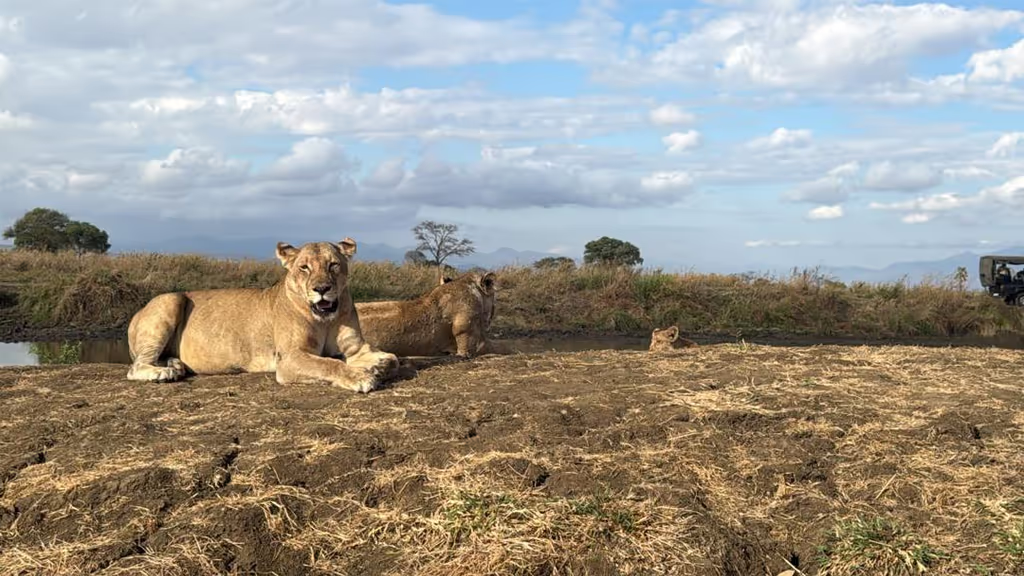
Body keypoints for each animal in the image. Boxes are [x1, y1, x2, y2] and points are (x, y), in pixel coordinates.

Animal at [126, 239, 399, 393]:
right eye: (304, 267)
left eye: (333, 265)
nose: (321, 288)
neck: (325, 320)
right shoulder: (289, 358)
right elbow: (330, 364)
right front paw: (360, 376)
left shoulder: (357, 348)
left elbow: (392, 359)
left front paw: (377, 367)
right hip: (170, 300)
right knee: (135, 367)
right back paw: (163, 373)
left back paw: (175, 365)